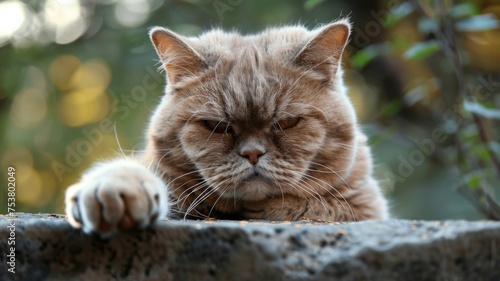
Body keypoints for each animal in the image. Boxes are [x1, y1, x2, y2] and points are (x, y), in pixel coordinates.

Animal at [63, 19, 390, 236]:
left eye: (286, 122)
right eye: (217, 126)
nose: (253, 154)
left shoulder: (364, 206)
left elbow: (312, 204)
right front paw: (117, 189)